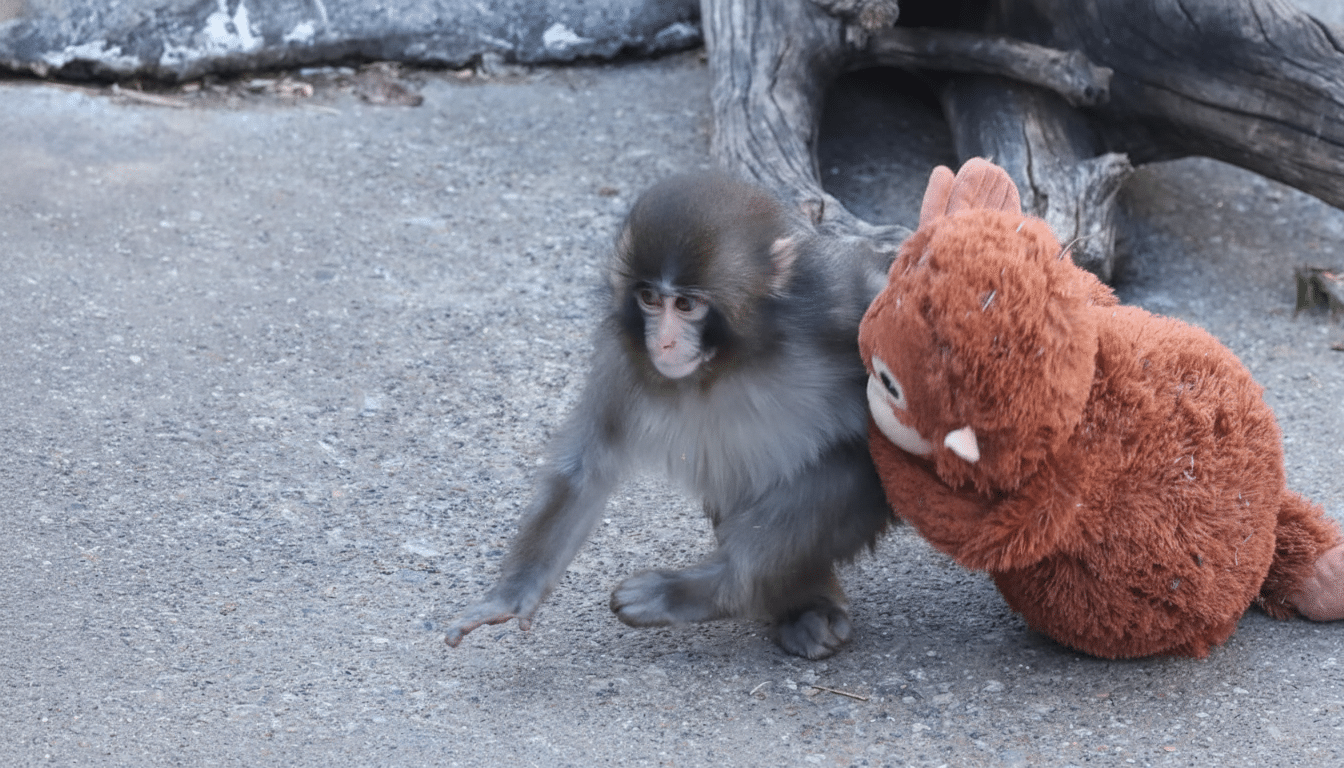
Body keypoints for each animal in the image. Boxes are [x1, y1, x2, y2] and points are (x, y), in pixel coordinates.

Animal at [444, 171, 895, 659]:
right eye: (648, 299)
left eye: (685, 305)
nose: (662, 342)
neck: (734, 358)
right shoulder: (624, 357)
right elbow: (586, 468)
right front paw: (511, 595)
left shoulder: (837, 305)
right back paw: (800, 604)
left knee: (851, 466)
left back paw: (709, 589)